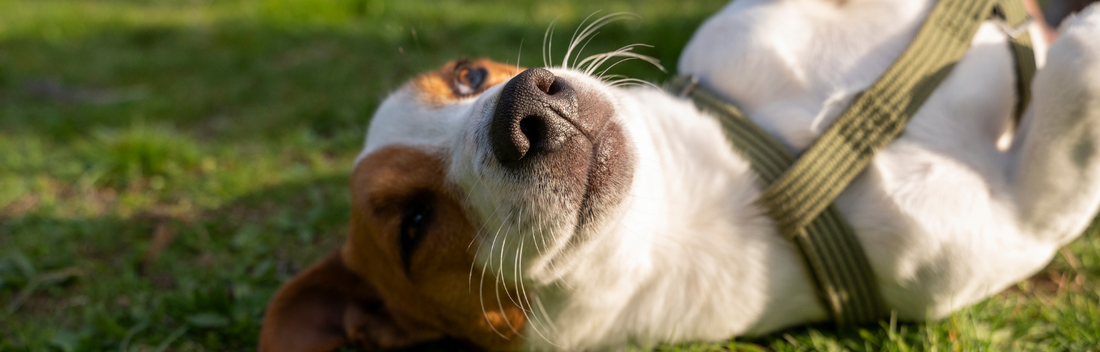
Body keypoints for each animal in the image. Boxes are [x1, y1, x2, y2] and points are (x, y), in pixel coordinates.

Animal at [259, 1, 1100, 349]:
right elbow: (1074, 76)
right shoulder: (1022, 219)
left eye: (468, 75)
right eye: (414, 225)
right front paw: (1081, 37)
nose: (527, 111)